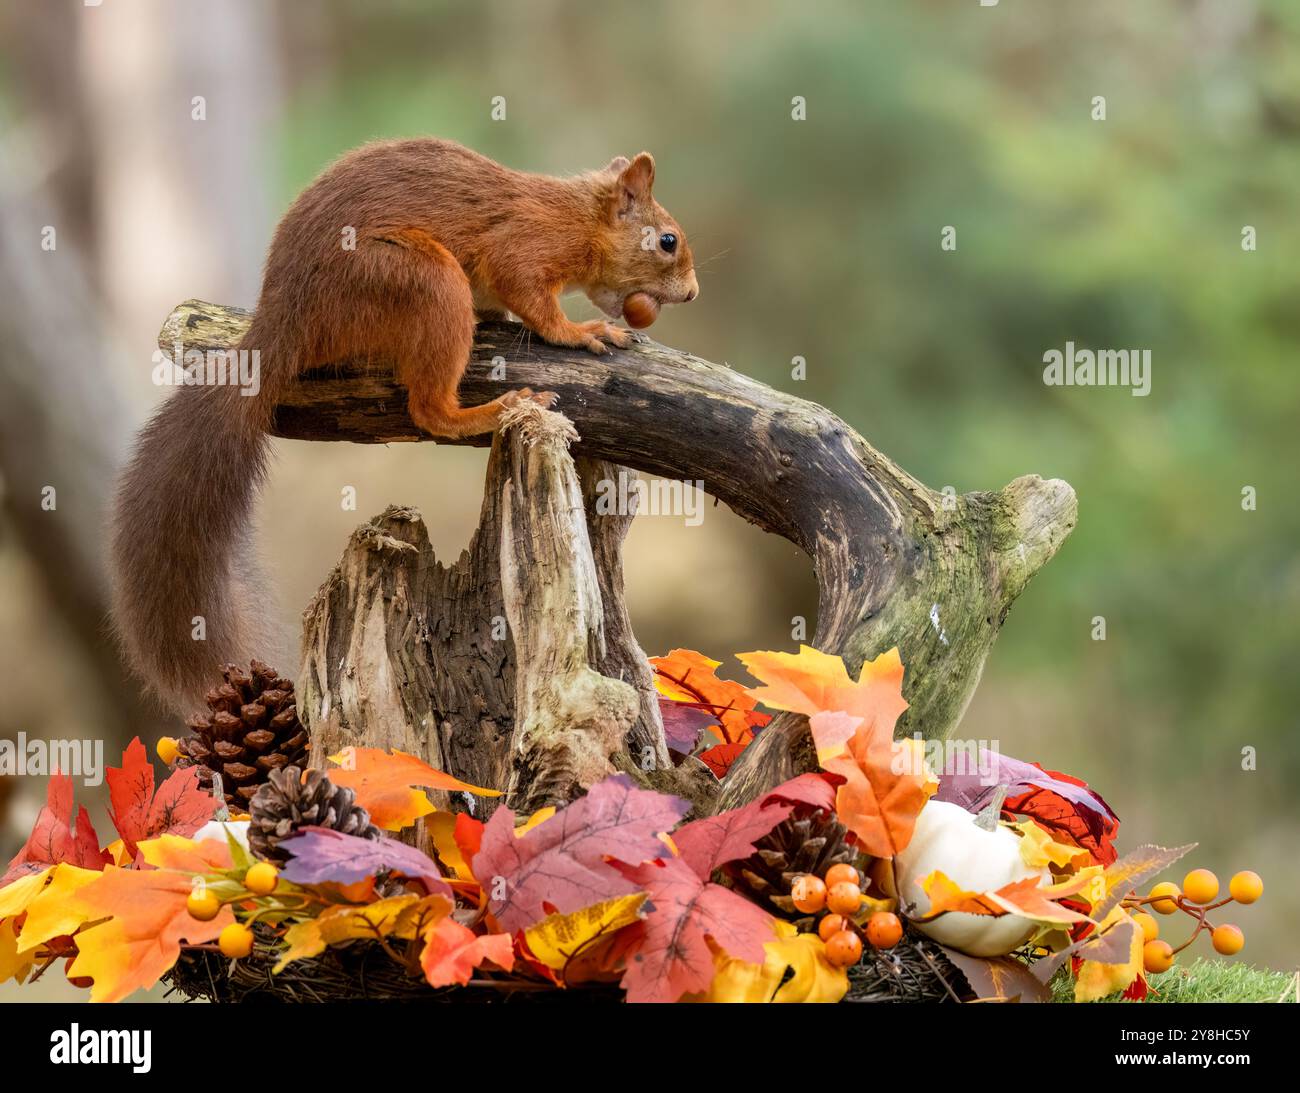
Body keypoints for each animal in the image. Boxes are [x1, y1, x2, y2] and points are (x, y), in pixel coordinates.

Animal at [113, 138, 702, 707]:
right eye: (667, 240)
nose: (694, 293)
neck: (577, 217)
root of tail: (285, 322)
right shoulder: (524, 247)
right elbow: (533, 300)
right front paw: (580, 331)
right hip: (420, 279)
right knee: (429, 409)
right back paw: (492, 409)